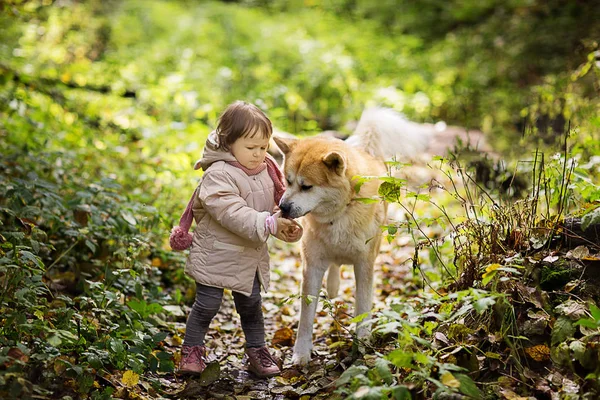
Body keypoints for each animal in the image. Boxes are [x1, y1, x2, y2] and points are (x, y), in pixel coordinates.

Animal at [272, 106, 432, 366]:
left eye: (307, 187)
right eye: (287, 180)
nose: (283, 207)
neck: (339, 215)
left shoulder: (364, 264)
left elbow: (362, 308)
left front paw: (362, 345)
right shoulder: (312, 264)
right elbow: (306, 316)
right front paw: (301, 353)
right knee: (333, 267)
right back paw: (333, 285)